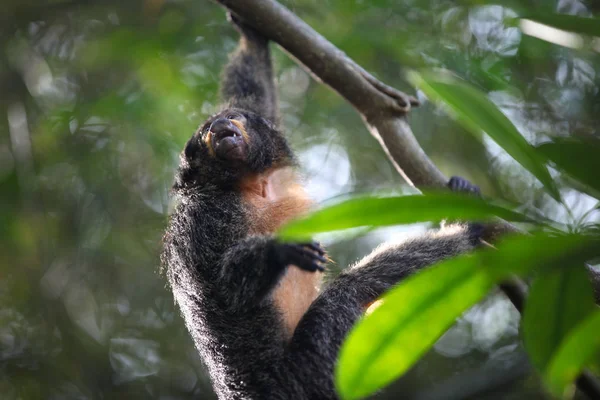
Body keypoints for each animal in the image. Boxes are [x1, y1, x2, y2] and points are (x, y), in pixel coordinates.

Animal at [162, 14, 486, 398]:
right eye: (205, 134)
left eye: (232, 119)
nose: (219, 127)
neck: (249, 186)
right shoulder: (206, 217)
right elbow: (227, 290)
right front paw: (279, 251)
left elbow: (256, 92)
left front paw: (253, 35)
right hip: (313, 373)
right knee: (350, 289)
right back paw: (466, 230)